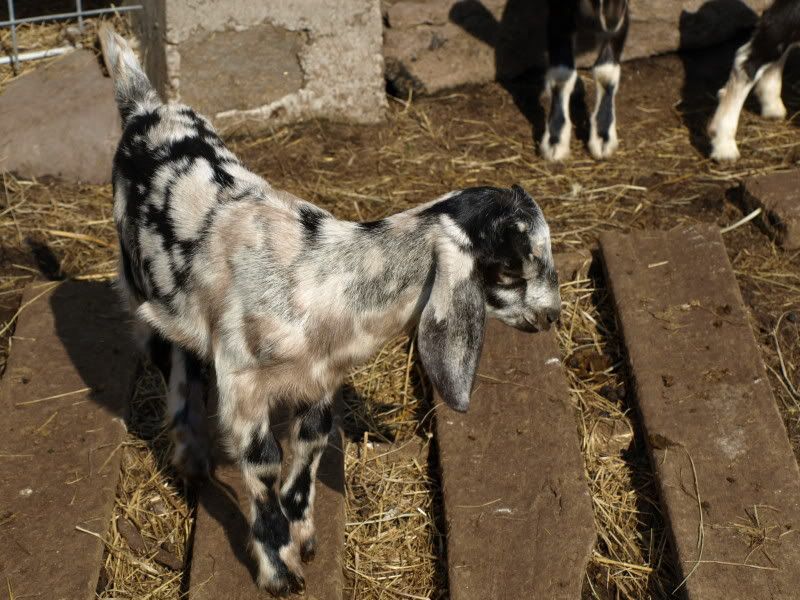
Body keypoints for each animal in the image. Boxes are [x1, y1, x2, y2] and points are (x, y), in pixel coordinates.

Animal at [102, 28, 561, 596]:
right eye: (515, 270)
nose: (553, 316)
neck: (327, 277)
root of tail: (145, 105)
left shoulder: (319, 382)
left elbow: (307, 457)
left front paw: (304, 540)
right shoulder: (245, 387)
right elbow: (264, 467)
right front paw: (279, 571)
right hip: (138, 286)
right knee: (172, 360)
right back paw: (190, 454)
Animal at [542, 0, 629, 161]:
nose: (612, 20)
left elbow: (606, 71)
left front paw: (603, 135)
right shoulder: (558, 9)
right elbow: (561, 73)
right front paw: (555, 139)